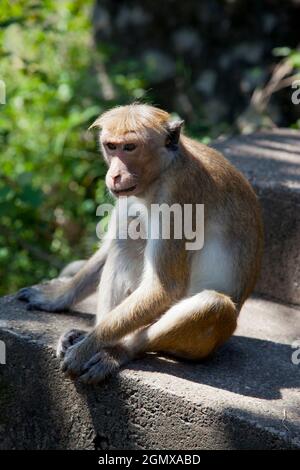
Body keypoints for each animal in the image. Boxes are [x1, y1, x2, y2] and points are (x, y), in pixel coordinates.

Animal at [17, 103, 264, 382]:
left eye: (130, 147)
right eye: (111, 146)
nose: (114, 175)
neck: (162, 171)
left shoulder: (179, 196)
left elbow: (165, 287)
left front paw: (87, 347)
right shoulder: (129, 194)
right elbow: (111, 245)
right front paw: (56, 296)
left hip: (206, 342)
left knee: (213, 305)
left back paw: (118, 350)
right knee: (125, 241)